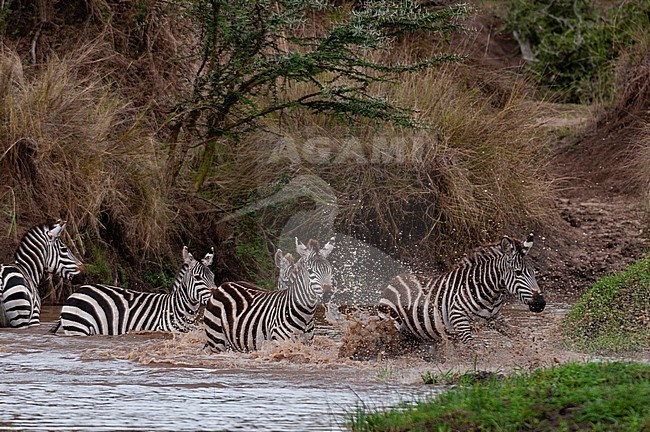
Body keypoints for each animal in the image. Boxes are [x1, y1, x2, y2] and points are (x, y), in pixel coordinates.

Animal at [50, 246, 216, 334]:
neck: (178, 309)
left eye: (213, 276)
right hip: (78, 327)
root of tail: (76, 292)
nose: (216, 295)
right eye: (197, 278)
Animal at [204, 238, 334, 352]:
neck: (306, 316)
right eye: (311, 271)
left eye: (330, 270)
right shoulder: (281, 342)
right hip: (217, 339)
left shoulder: (307, 343)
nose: (328, 294)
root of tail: (224, 284)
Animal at [378, 233, 544, 344]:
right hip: (391, 323)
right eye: (518, 273)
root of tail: (395, 278)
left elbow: (518, 335)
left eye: (533, 273)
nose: (541, 303)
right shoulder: (458, 317)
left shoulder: (495, 317)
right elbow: (472, 348)